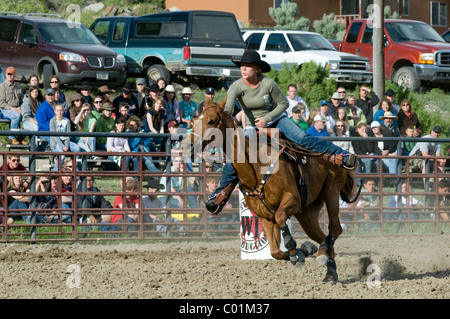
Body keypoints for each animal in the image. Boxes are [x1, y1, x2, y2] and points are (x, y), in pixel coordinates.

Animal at [185, 97, 360, 282]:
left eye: (211, 121)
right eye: (193, 121)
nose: (188, 147)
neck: (255, 168)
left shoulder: (292, 199)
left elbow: (282, 218)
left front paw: (298, 251)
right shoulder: (266, 217)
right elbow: (276, 252)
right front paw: (303, 251)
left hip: (331, 192)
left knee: (335, 229)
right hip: (307, 214)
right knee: (323, 238)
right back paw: (329, 270)